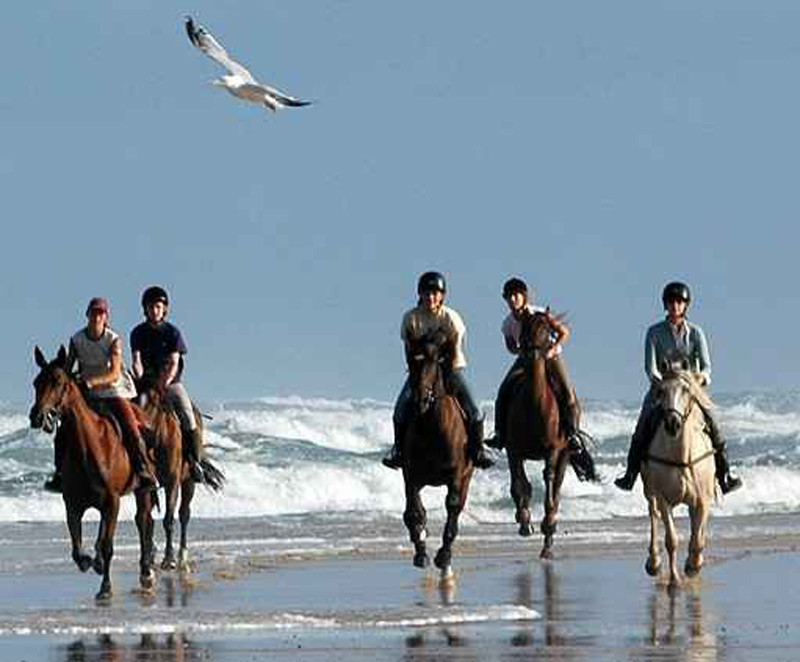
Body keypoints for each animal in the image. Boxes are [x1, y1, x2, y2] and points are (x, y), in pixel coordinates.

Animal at [29, 348, 156, 600]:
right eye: (36, 382)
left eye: (58, 382)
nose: (37, 416)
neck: (90, 446)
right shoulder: (73, 505)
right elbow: (77, 549)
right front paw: (90, 562)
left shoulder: (113, 502)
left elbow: (108, 546)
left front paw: (105, 587)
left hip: (142, 491)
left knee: (143, 522)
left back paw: (146, 573)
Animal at [139, 392, 223, 572]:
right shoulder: (146, 486)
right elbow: (146, 519)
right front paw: (150, 555)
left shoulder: (172, 482)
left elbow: (169, 519)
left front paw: (168, 559)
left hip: (188, 481)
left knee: (184, 513)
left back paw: (182, 554)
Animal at [400, 334, 476, 584]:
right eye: (413, 361)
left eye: (437, 362)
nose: (420, 399)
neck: (432, 428)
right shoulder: (411, 476)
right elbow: (414, 512)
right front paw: (421, 553)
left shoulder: (456, 476)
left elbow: (452, 508)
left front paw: (443, 557)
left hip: (466, 478)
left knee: (457, 508)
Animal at [504, 312, 596, 560]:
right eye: (525, 328)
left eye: (548, 330)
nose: (533, 354)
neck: (534, 404)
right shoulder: (513, 450)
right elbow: (518, 485)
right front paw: (524, 521)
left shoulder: (552, 450)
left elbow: (548, 479)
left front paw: (546, 525)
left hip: (565, 453)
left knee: (557, 487)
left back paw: (549, 534)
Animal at [640, 364, 716, 592]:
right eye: (661, 391)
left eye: (687, 391)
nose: (672, 424)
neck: (680, 456)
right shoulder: (663, 498)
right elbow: (671, 540)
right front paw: (674, 580)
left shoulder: (703, 500)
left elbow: (698, 538)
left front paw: (693, 565)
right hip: (650, 492)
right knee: (653, 515)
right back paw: (654, 563)